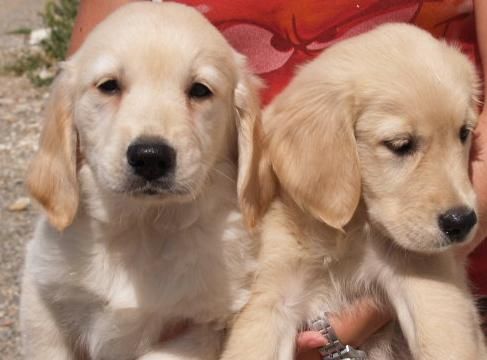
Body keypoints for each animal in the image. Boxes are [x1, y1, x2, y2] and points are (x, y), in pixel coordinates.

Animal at [20, 3, 262, 360]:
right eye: (109, 86)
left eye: (200, 90)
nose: (150, 157)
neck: (142, 229)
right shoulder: (43, 295)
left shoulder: (206, 325)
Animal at [222, 23, 487, 358]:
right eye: (400, 145)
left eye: (464, 133)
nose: (462, 221)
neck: (350, 232)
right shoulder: (270, 295)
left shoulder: (424, 271)